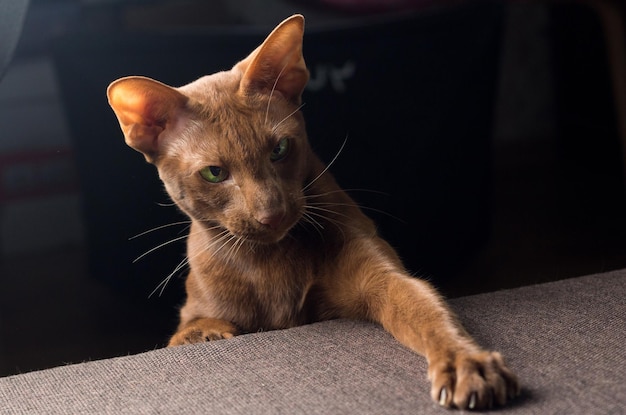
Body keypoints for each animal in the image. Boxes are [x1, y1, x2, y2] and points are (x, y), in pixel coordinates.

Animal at [107, 14, 516, 412]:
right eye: (214, 173)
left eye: (280, 149)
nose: (271, 214)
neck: (268, 264)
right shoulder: (195, 312)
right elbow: (189, 331)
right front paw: (209, 334)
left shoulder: (385, 279)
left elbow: (429, 313)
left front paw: (467, 366)